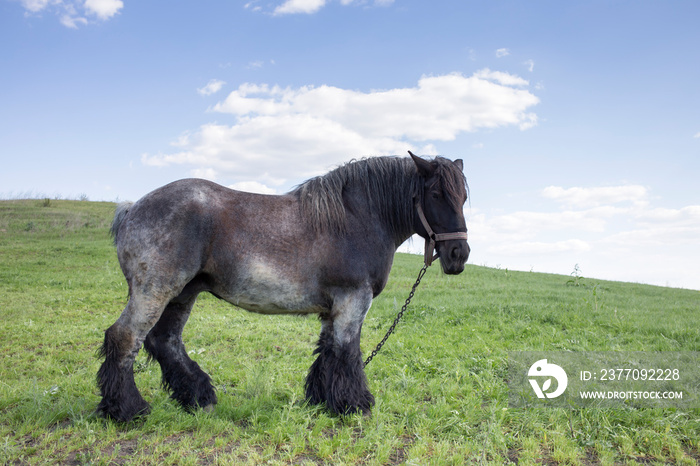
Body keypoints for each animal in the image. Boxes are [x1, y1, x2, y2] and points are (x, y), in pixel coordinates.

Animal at [97, 151, 470, 420]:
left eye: (463, 198)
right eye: (436, 193)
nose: (459, 254)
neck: (359, 217)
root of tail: (132, 209)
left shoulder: (334, 308)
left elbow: (327, 352)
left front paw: (322, 400)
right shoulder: (353, 301)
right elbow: (347, 353)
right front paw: (355, 405)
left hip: (182, 294)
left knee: (164, 341)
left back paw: (199, 398)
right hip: (155, 291)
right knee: (125, 338)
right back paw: (128, 409)